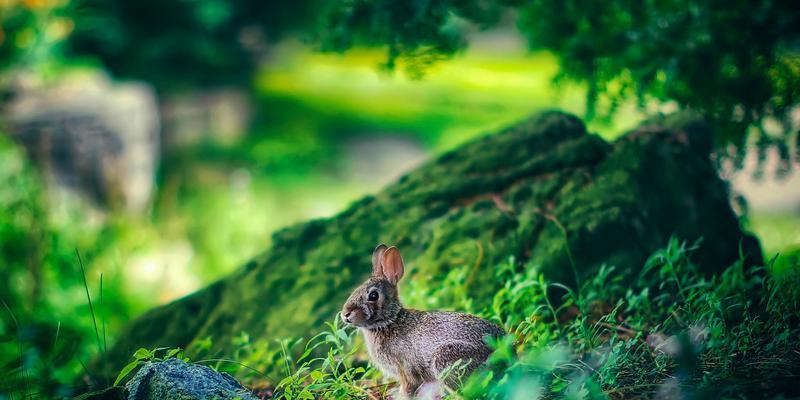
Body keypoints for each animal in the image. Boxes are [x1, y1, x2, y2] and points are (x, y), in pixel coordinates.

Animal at [340, 244, 504, 396]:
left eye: (373, 296)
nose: (345, 314)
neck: (390, 320)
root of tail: (501, 346)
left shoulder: (404, 369)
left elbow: (407, 387)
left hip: (445, 358)